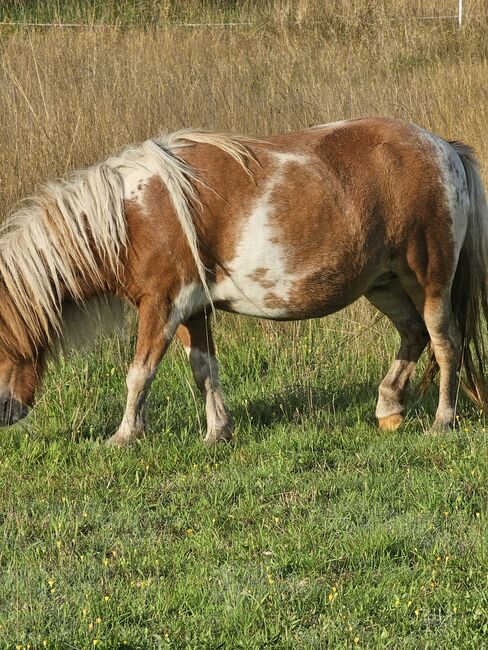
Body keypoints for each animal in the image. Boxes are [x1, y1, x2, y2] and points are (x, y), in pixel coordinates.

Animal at [0, 116, 488, 442]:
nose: (4, 411)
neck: (135, 213)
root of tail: (444, 148)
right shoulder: (192, 310)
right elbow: (204, 370)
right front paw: (218, 432)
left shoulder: (162, 304)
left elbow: (139, 373)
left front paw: (124, 436)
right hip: (383, 284)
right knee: (413, 334)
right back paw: (388, 407)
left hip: (429, 279)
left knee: (445, 342)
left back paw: (442, 421)